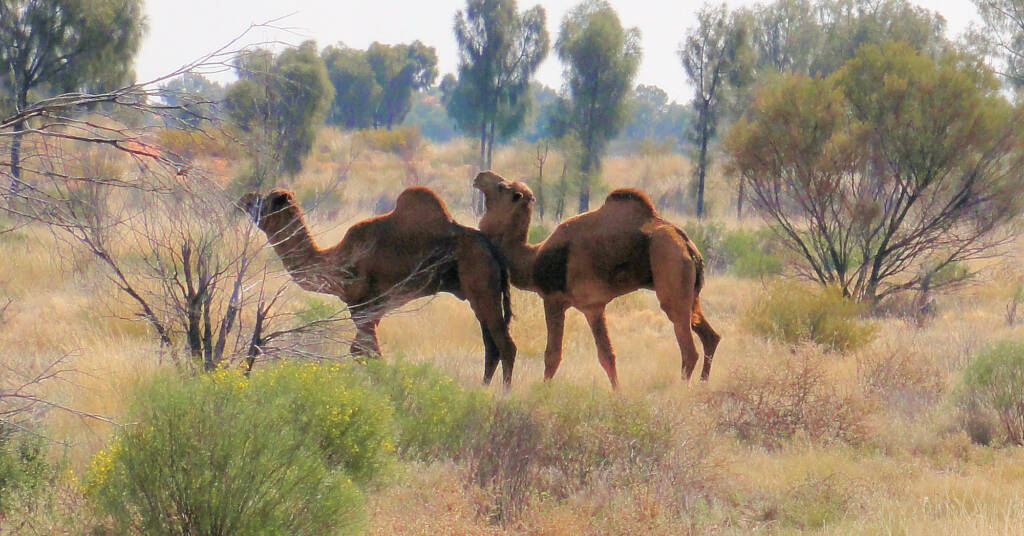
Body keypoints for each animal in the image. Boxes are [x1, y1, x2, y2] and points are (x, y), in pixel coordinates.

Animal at [240, 186, 517, 385]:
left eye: (265, 200)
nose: (246, 198)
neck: (336, 260)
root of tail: (494, 252)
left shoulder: (362, 305)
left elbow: (366, 352)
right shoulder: (375, 309)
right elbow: (362, 351)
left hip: (482, 284)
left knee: (506, 346)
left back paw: (502, 398)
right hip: (479, 293)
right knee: (491, 347)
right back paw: (482, 391)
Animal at [473, 170, 720, 389]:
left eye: (502, 186)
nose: (479, 177)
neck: (534, 259)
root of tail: (689, 247)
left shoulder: (561, 301)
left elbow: (554, 355)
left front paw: (541, 392)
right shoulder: (592, 305)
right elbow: (607, 355)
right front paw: (618, 393)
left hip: (671, 267)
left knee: (689, 349)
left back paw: (680, 390)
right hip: (690, 291)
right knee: (710, 336)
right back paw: (703, 384)